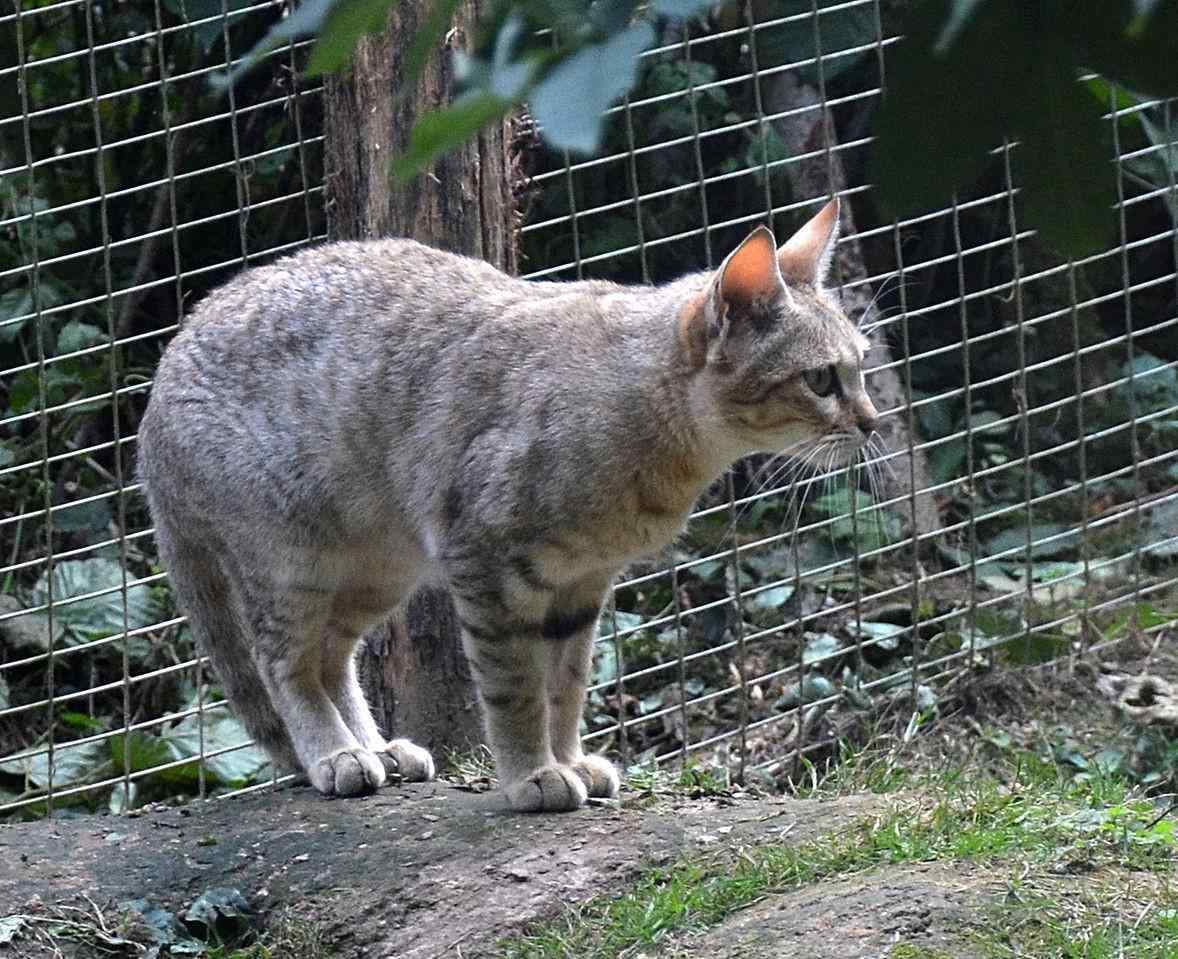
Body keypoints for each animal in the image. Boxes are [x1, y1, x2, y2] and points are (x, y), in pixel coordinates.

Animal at [135, 199, 876, 815]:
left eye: (862, 365)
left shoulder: (583, 584)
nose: (872, 421)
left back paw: (376, 746)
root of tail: (158, 386)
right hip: (293, 561)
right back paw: (336, 753)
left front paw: (569, 758)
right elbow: (515, 687)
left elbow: (566, 687)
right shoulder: (486, 564)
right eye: (821, 379)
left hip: (376, 569)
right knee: (284, 663)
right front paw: (533, 774)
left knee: (331, 656)